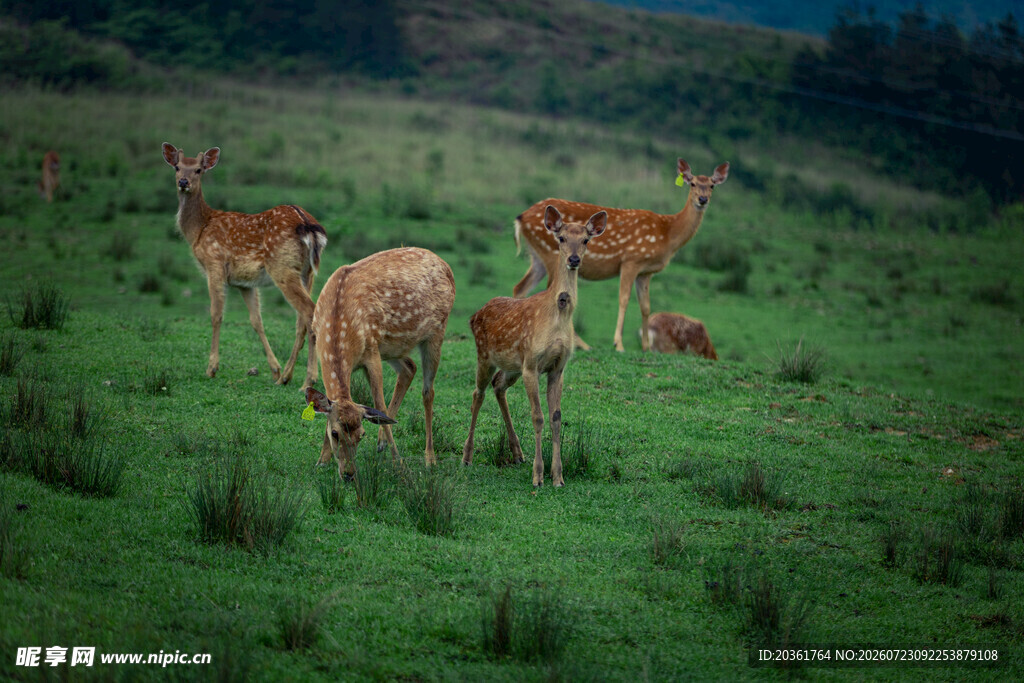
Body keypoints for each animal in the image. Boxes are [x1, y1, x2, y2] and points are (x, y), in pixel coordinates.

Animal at [161, 143, 326, 390]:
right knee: (302, 320)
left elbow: (216, 314)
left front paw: (211, 368)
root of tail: (307, 223)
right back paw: (286, 376)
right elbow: (256, 321)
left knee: (309, 311)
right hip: (308, 272)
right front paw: (275, 370)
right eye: (177, 167)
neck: (199, 230)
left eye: (199, 169)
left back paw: (308, 381)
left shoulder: (214, 264)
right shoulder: (244, 283)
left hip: (282, 267)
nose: (183, 182)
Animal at [304, 247, 455, 481]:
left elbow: (379, 402)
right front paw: (322, 460)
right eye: (335, 433)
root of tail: (446, 266)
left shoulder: (371, 353)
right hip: (393, 347)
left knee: (428, 392)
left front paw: (399, 463)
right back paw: (382, 441)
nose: (349, 474)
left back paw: (430, 458)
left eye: (361, 434)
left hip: (436, 332)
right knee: (409, 367)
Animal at [463, 206, 607, 487]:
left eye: (586, 240)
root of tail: (474, 314)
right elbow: (538, 416)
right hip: (485, 355)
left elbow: (556, 418)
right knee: (477, 394)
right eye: (561, 238)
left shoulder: (558, 368)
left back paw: (517, 452)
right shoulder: (531, 363)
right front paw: (538, 476)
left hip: (511, 366)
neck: (557, 316)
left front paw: (558, 476)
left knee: (498, 386)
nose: (574, 259)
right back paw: (467, 456)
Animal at [513, 158, 729, 352]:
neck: (667, 234)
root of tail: (521, 217)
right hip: (551, 254)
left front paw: (646, 347)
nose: (702, 199)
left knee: (520, 287)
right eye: (692, 183)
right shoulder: (631, 260)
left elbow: (646, 306)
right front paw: (618, 344)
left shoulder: (646, 272)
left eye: (712, 185)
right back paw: (581, 344)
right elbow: (624, 299)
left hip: (538, 258)